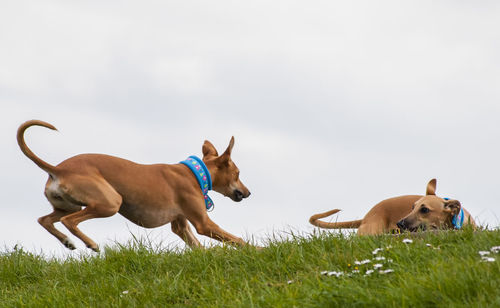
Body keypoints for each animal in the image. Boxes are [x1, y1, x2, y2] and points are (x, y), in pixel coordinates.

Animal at [17, 119, 252, 251]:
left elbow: (196, 246)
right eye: (238, 173)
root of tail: (58, 170)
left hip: (68, 204)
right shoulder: (204, 224)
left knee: (45, 220)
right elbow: (237, 240)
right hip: (110, 202)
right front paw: (256, 250)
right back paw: (90, 243)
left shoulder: (180, 225)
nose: (248, 192)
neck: (195, 172)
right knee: (69, 221)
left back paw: (67, 241)